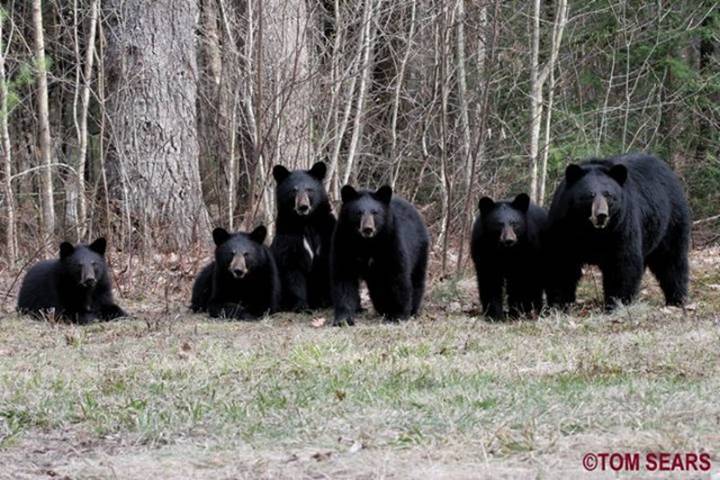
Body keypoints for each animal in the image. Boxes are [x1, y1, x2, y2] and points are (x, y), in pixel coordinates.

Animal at [270, 161, 338, 312]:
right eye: (293, 190)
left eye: (309, 189)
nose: (303, 207)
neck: (306, 222)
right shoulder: (288, 236)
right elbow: (292, 269)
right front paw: (301, 305)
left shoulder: (326, 233)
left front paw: (329, 302)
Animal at [544, 154, 692, 312]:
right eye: (590, 195)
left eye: (608, 194)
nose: (601, 215)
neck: (592, 231)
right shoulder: (565, 227)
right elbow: (562, 262)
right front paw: (558, 305)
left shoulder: (621, 226)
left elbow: (622, 263)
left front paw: (616, 303)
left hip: (670, 222)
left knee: (671, 261)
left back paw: (676, 300)